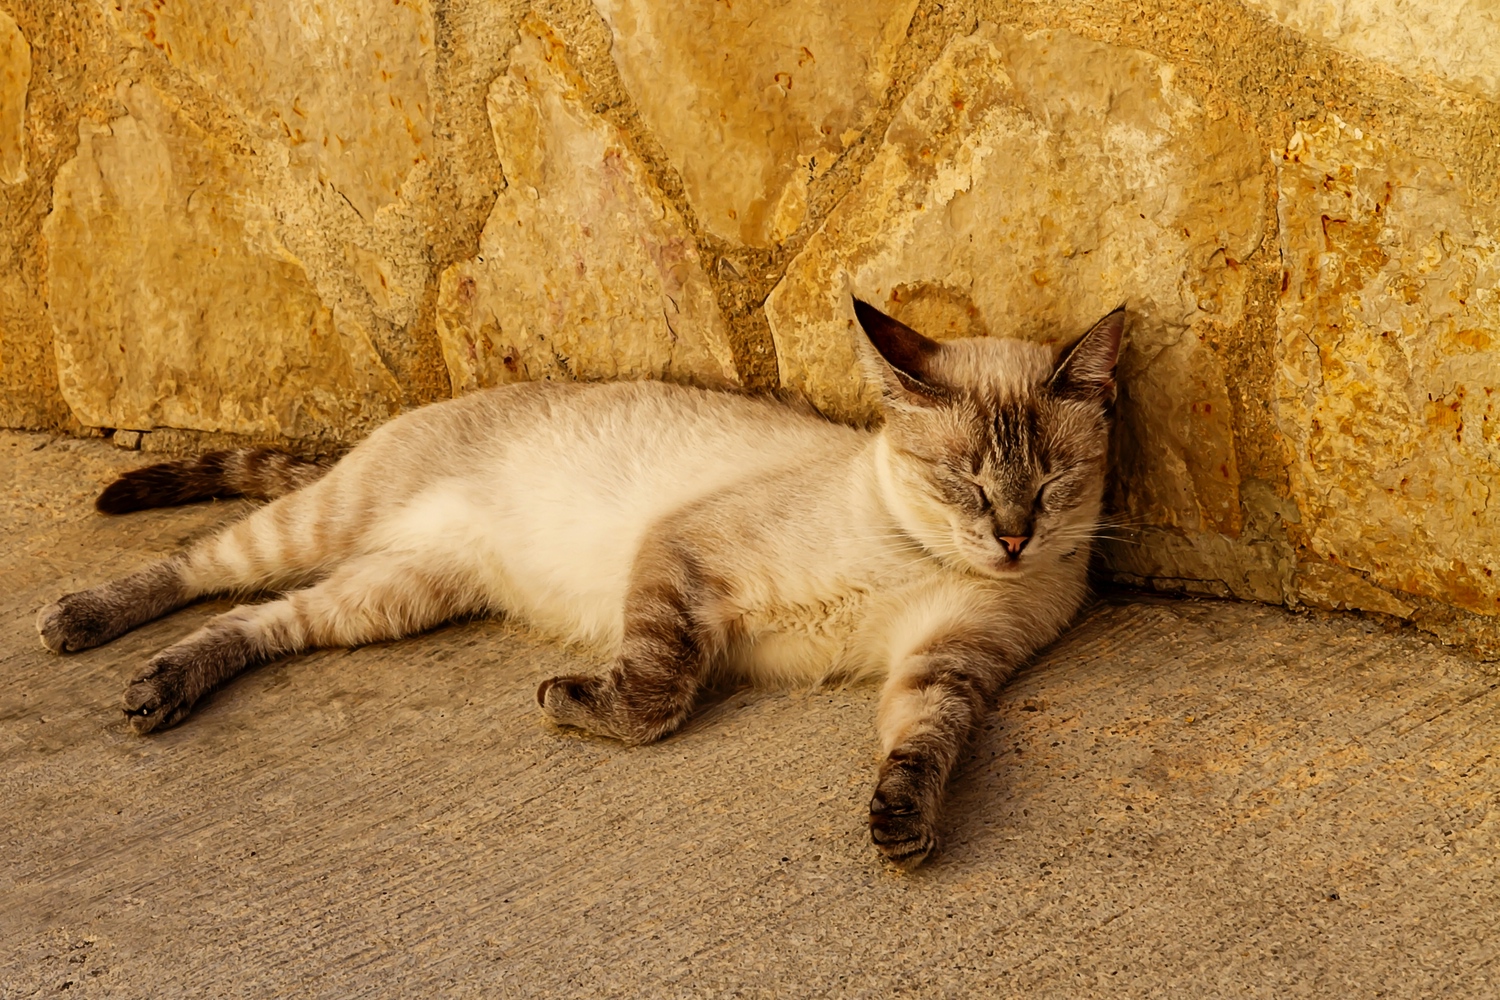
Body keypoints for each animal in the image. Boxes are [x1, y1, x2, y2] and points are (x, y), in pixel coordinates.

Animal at [35, 296, 1122, 869]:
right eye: (965, 482)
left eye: (1050, 484)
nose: (1014, 539)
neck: (917, 550)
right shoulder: (683, 557)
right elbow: (657, 689)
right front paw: (573, 703)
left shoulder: (944, 662)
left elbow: (923, 743)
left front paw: (902, 822)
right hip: (320, 527)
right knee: (195, 569)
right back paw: (85, 629)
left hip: (389, 599)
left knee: (265, 621)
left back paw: (159, 691)